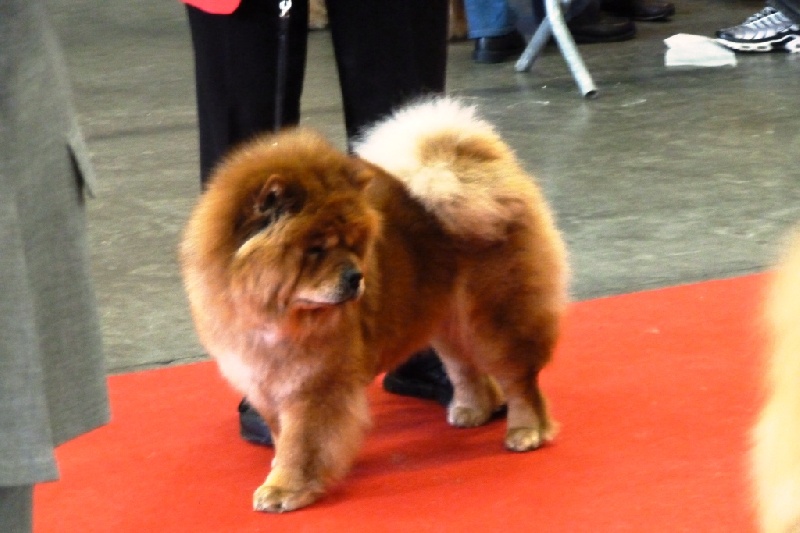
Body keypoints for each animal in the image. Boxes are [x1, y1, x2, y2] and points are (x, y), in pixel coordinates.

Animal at [180, 98, 569, 512]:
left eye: (353, 243)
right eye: (316, 249)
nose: (356, 277)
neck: (271, 312)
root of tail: (489, 170)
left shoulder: (313, 384)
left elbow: (301, 441)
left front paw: (284, 489)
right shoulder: (263, 378)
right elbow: (281, 432)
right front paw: (278, 467)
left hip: (496, 317)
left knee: (519, 378)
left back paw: (526, 431)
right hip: (443, 317)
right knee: (464, 366)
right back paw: (472, 410)